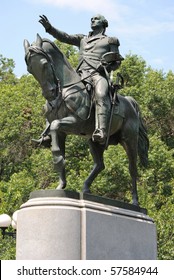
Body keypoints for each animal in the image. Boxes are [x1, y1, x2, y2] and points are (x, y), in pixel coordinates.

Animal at [23, 34, 149, 206]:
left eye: (44, 64)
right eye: (30, 68)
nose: (49, 94)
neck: (67, 89)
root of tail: (130, 102)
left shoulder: (75, 122)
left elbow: (55, 125)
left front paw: (58, 159)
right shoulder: (62, 133)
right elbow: (57, 140)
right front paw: (61, 184)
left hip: (129, 140)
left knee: (132, 168)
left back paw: (135, 202)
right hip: (94, 141)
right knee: (100, 165)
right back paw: (86, 188)